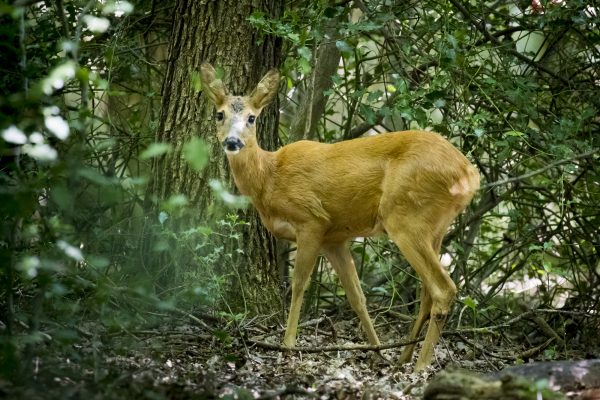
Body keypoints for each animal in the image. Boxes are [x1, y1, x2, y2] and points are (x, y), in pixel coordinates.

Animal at [200, 64, 478, 370]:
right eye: (219, 114)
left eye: (252, 117)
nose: (232, 142)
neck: (269, 177)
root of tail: (469, 174)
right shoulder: (334, 238)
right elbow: (357, 297)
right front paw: (377, 350)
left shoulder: (311, 220)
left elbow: (299, 284)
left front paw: (288, 344)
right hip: (435, 227)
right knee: (427, 292)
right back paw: (403, 357)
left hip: (405, 218)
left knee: (443, 288)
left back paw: (420, 367)